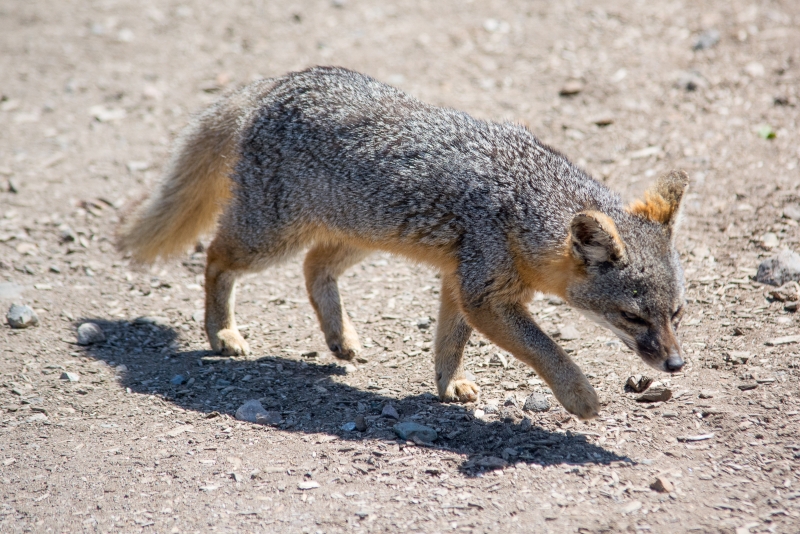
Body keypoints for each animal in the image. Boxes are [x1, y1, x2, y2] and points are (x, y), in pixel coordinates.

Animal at [119, 66, 688, 422]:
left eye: (678, 313)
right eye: (632, 317)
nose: (676, 366)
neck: (526, 201)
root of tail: (282, 82)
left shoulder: (461, 280)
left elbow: (450, 341)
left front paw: (447, 384)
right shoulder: (485, 293)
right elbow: (548, 349)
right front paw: (580, 396)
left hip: (360, 234)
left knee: (314, 266)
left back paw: (339, 337)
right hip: (271, 238)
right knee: (216, 257)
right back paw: (222, 331)